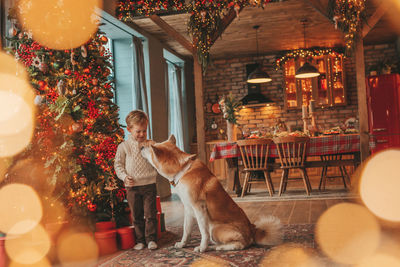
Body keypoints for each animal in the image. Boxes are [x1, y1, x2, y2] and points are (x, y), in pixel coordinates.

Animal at [141, 136, 282, 253]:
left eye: (150, 146)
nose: (141, 147)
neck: (183, 171)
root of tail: (253, 230)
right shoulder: (188, 210)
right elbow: (186, 231)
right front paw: (182, 245)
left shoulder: (200, 209)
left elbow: (203, 233)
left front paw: (202, 248)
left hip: (215, 229)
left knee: (240, 244)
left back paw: (218, 247)